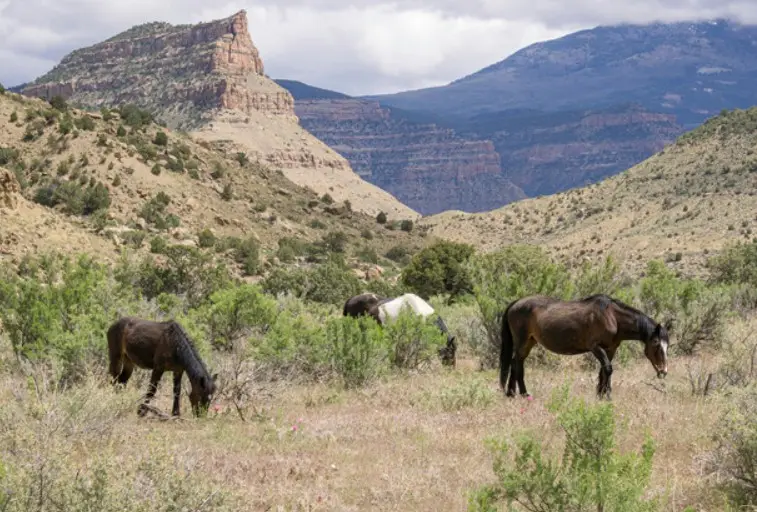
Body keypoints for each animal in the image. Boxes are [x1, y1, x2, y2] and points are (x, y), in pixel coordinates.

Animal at [499, 294, 670, 400]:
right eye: (656, 343)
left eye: (667, 346)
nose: (663, 371)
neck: (612, 317)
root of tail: (515, 304)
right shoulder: (595, 347)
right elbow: (608, 369)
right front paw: (607, 396)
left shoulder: (610, 349)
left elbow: (604, 371)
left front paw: (600, 395)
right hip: (522, 341)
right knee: (516, 364)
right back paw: (524, 394)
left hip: (529, 342)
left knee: (515, 363)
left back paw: (512, 394)